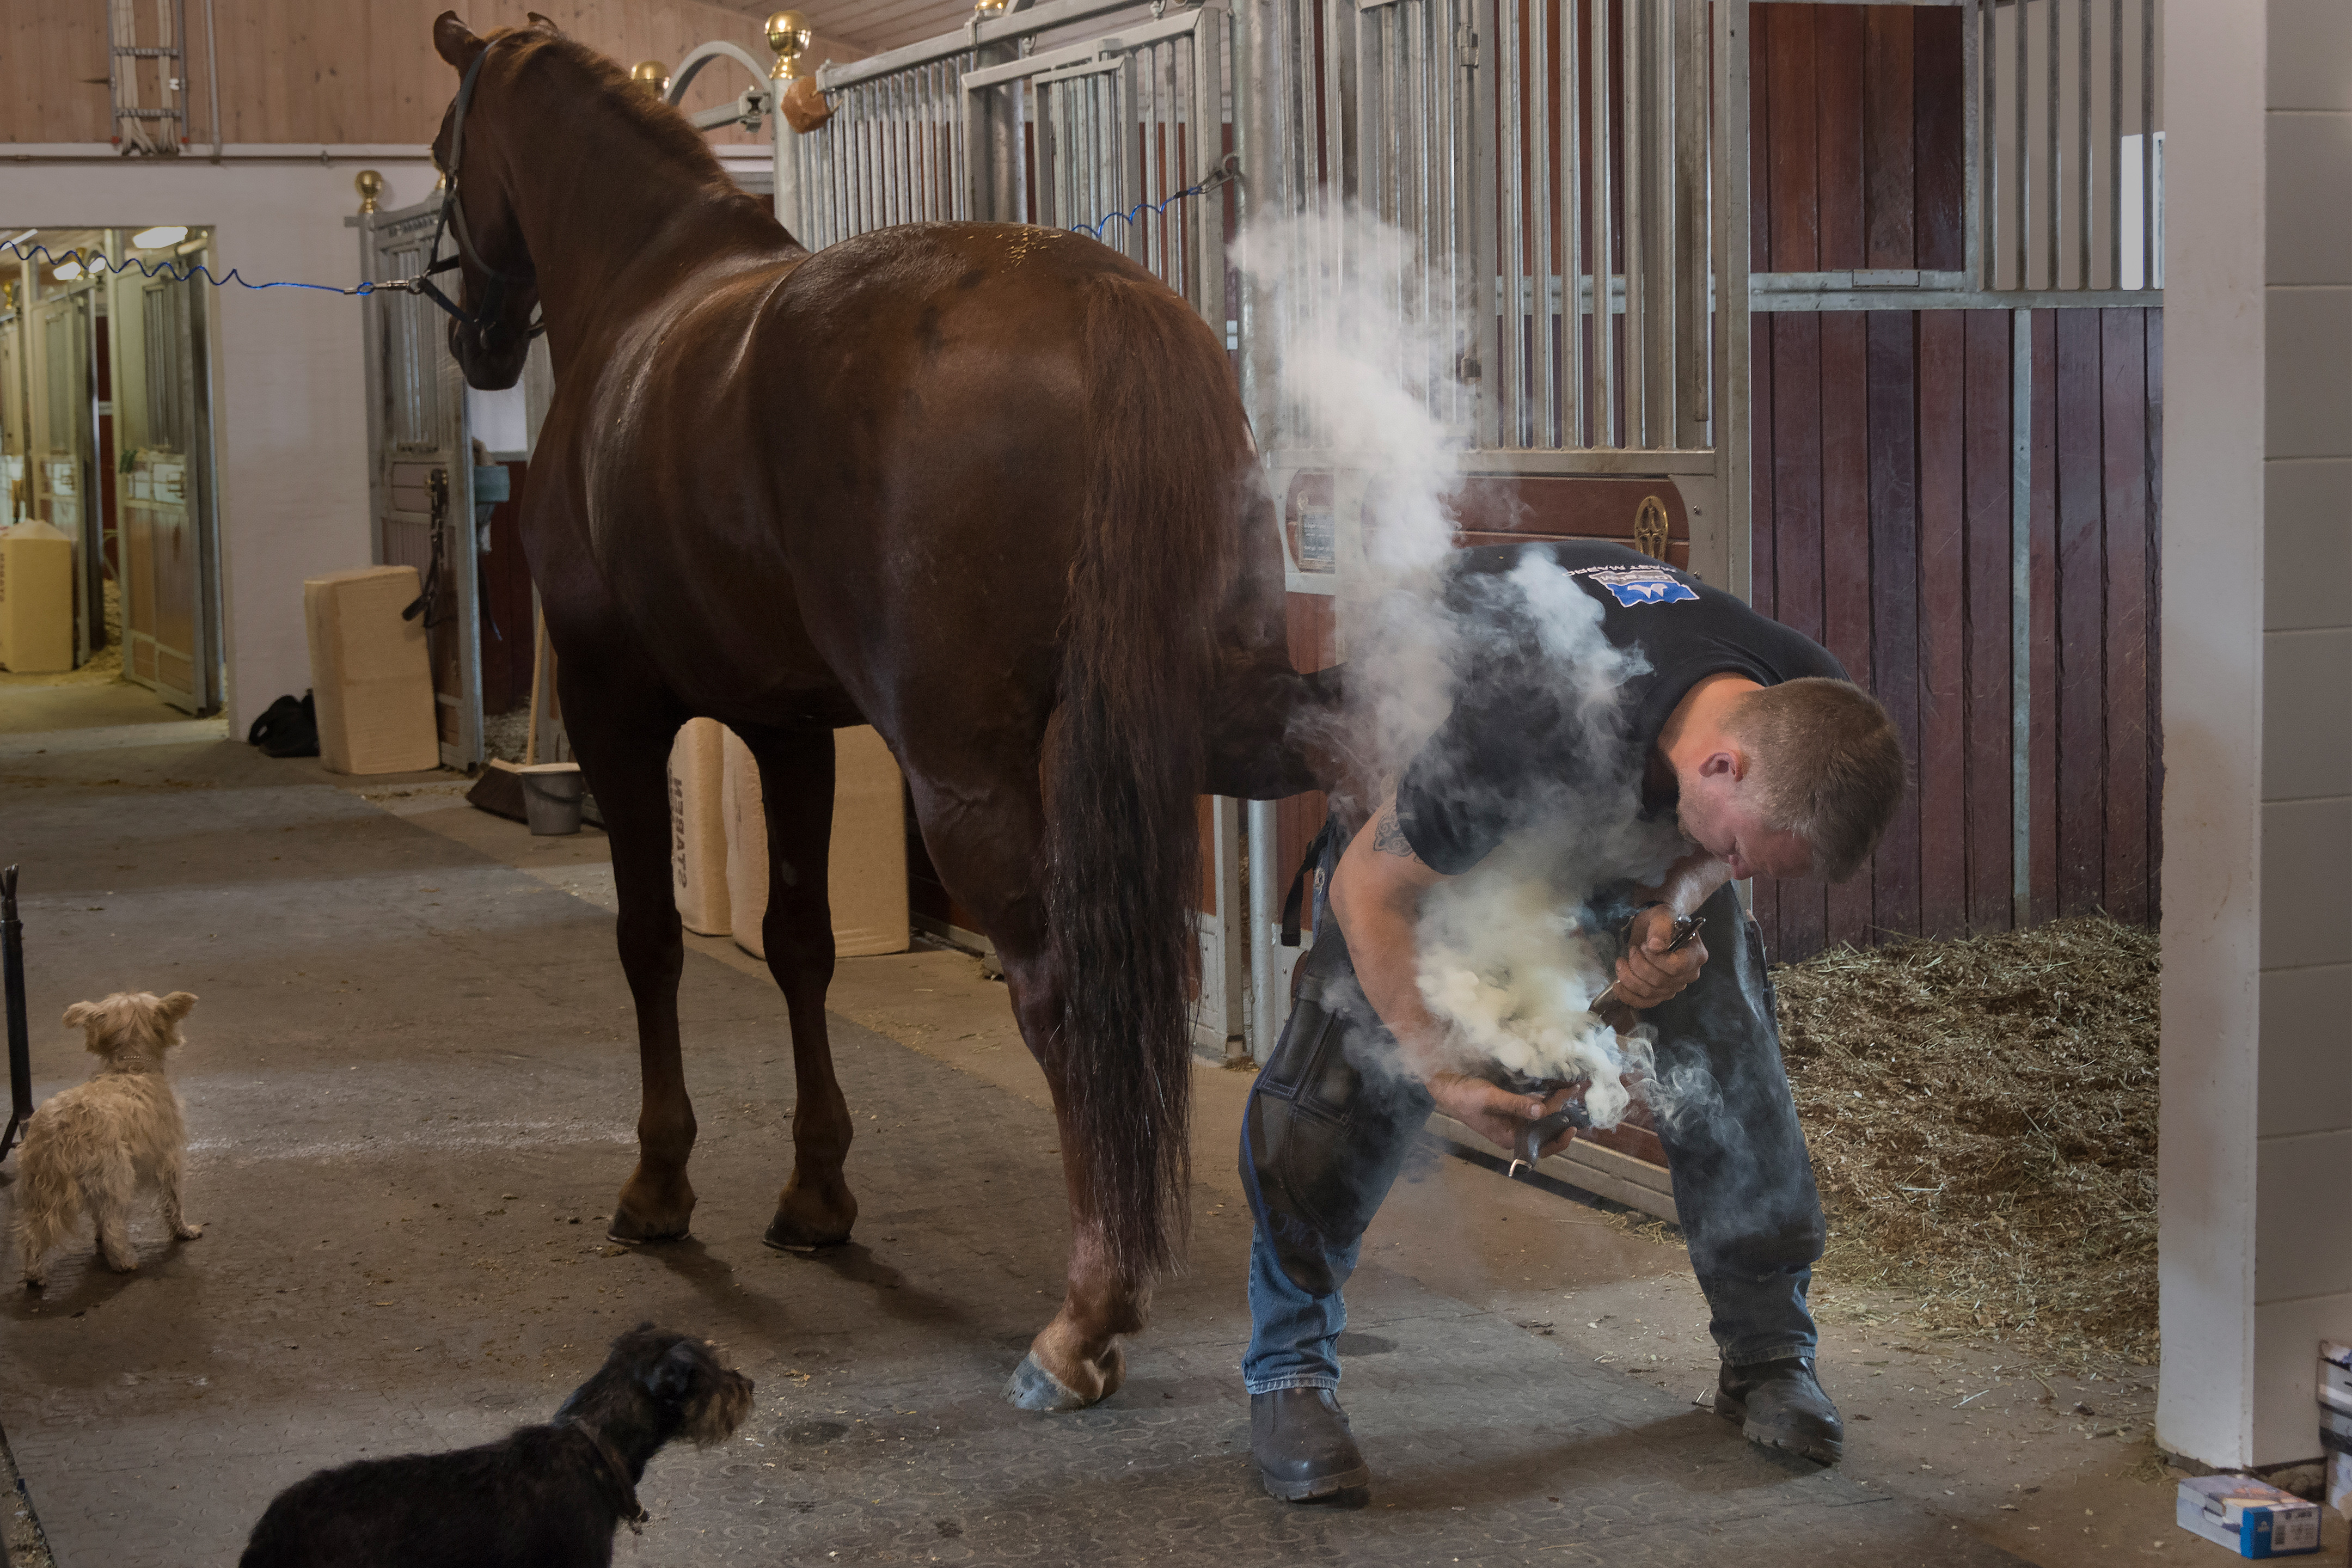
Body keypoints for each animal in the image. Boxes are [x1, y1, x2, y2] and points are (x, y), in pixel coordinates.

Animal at [15, 992, 204, 1288]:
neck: (131, 1067)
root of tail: (62, 1122)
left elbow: (97, 1217)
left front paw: (98, 1238)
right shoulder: (168, 1159)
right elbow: (173, 1202)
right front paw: (183, 1232)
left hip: (42, 1188)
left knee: (33, 1231)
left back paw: (34, 1274)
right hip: (116, 1177)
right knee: (114, 1224)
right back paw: (124, 1262)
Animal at [432, 12, 1336, 1410]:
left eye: (446, 150)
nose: (473, 341)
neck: (644, 291)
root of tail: (1101, 302)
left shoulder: (613, 703)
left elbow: (651, 940)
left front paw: (659, 1184)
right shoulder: (789, 727)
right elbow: (797, 943)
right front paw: (815, 1194)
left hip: (968, 776)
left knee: (1057, 996)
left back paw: (1086, 1318)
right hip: (1218, 714)